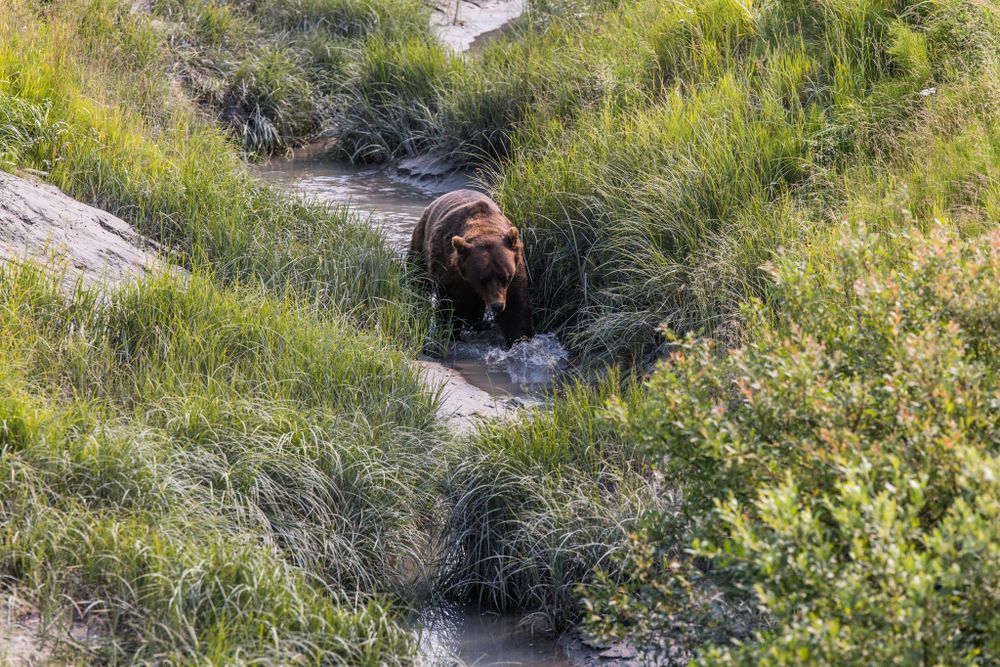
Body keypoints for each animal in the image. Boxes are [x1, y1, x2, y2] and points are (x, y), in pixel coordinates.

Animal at [408, 189, 532, 346]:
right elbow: (450, 306)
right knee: (418, 277)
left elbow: (515, 306)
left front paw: (518, 339)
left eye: (505, 277)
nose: (497, 305)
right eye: (483, 279)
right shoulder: (449, 270)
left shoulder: (516, 269)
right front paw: (449, 333)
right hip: (421, 242)